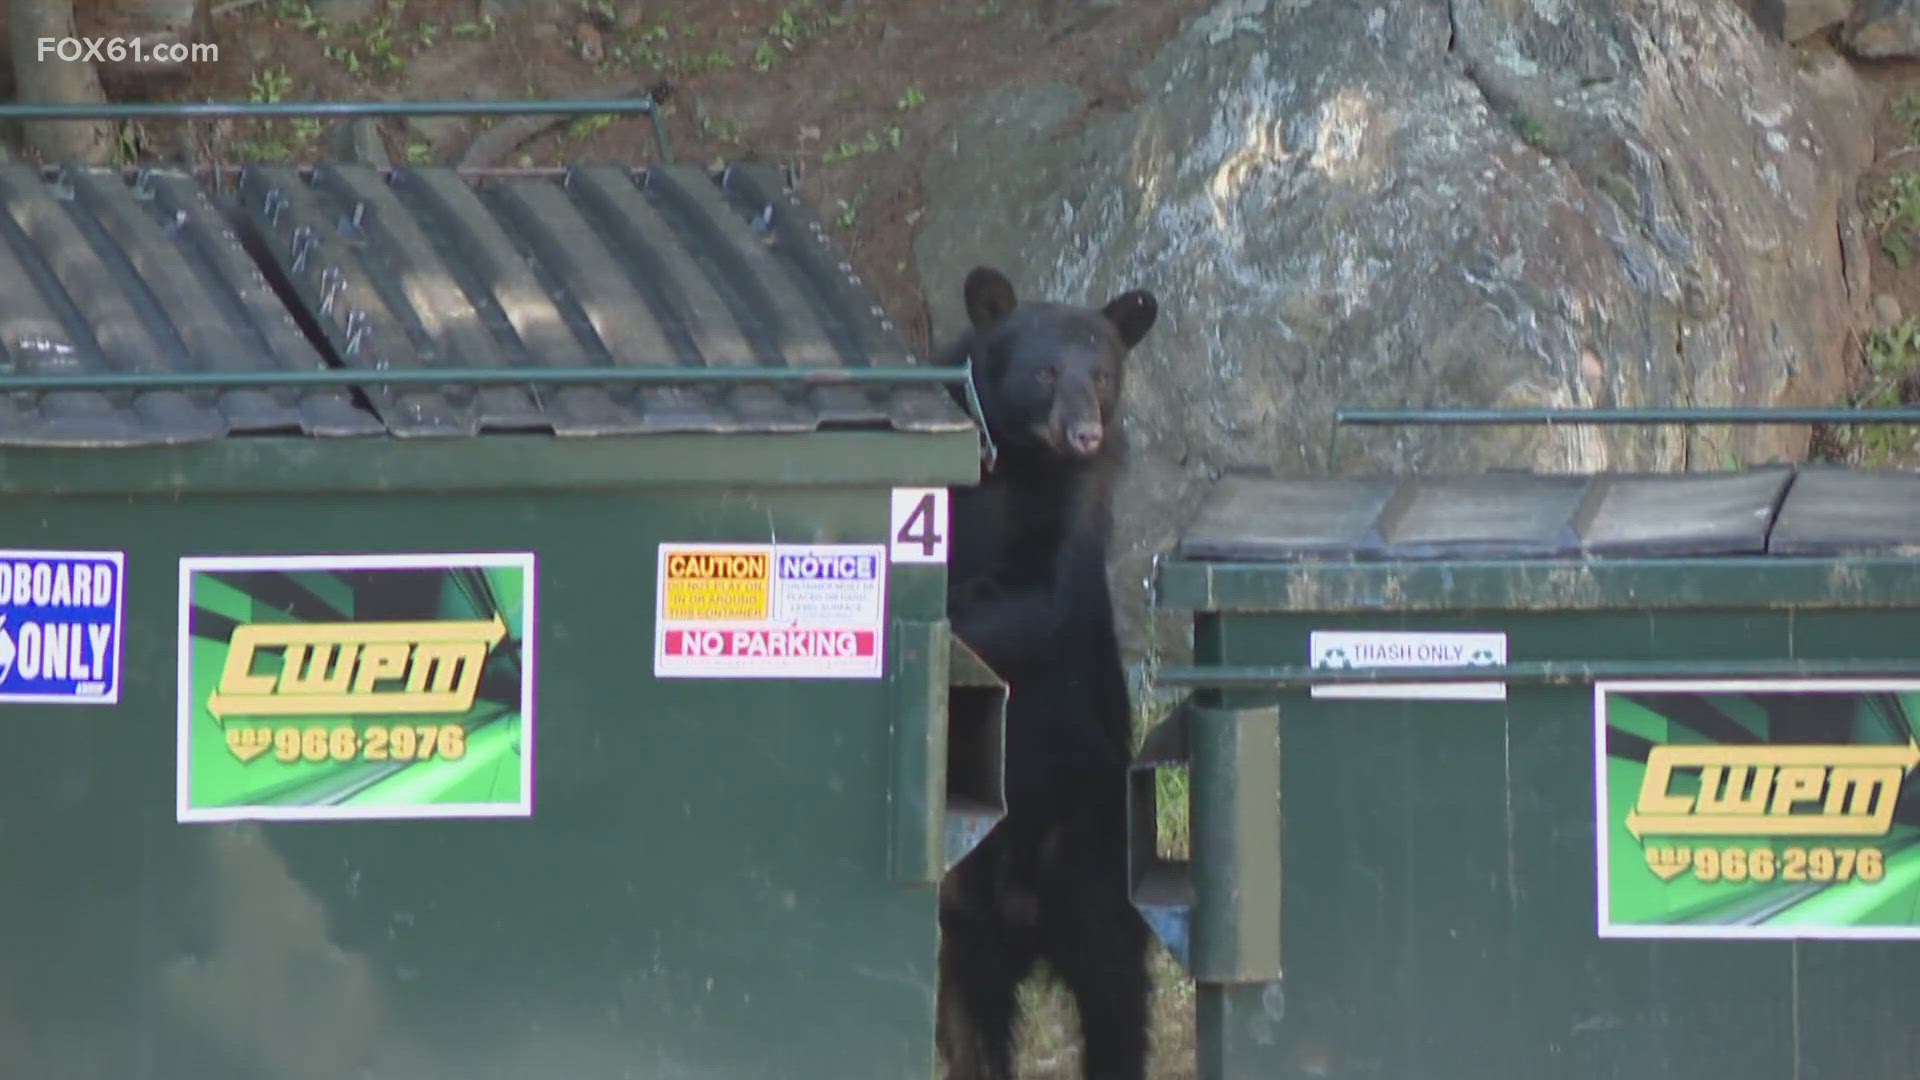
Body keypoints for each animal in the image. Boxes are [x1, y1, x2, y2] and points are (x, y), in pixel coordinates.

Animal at [929, 265, 1152, 1076]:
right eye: (1046, 371)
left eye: (1104, 374)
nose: (1084, 433)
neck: (1016, 469)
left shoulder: (1074, 517)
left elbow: (1038, 604)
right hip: (957, 917)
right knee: (966, 1014)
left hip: (1091, 852)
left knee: (1115, 984)